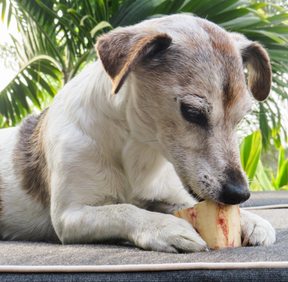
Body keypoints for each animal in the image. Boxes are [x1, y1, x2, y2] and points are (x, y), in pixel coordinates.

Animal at [0, 14, 276, 252]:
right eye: (192, 112)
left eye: (241, 117)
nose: (239, 194)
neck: (137, 146)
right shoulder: (69, 217)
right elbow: (125, 210)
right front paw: (165, 227)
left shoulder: (166, 196)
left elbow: (188, 204)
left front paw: (250, 219)